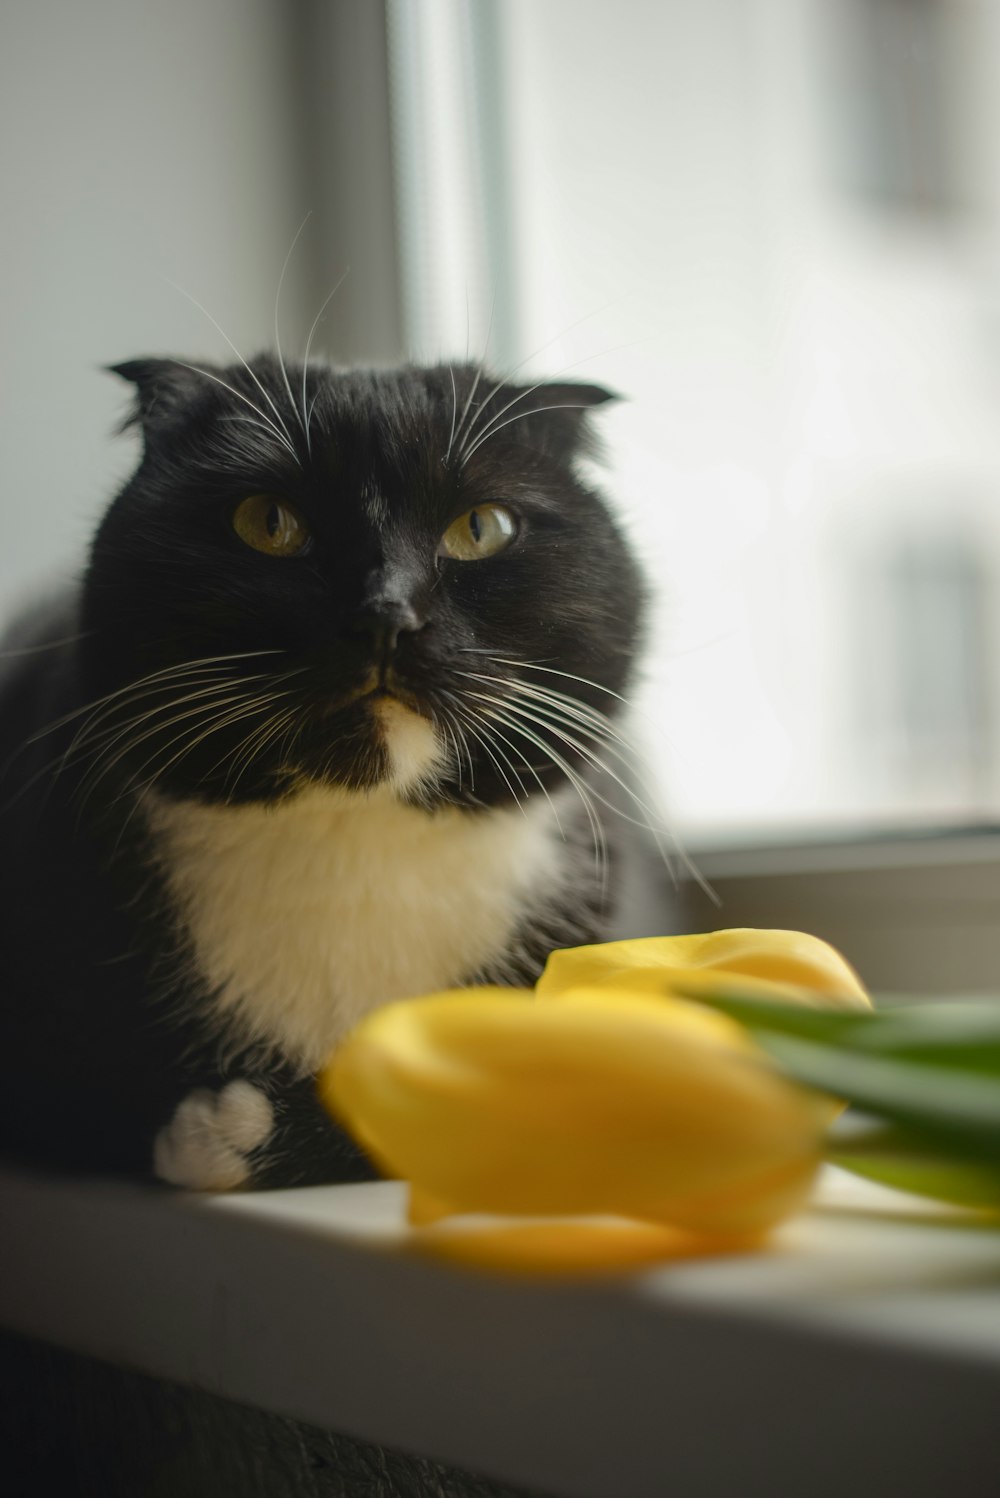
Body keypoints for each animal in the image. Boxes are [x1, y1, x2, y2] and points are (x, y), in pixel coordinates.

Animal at [0, 356, 643, 1186]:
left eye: (481, 528)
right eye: (268, 522)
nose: (385, 615)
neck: (356, 832)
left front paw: (231, 1131)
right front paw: (214, 1132)